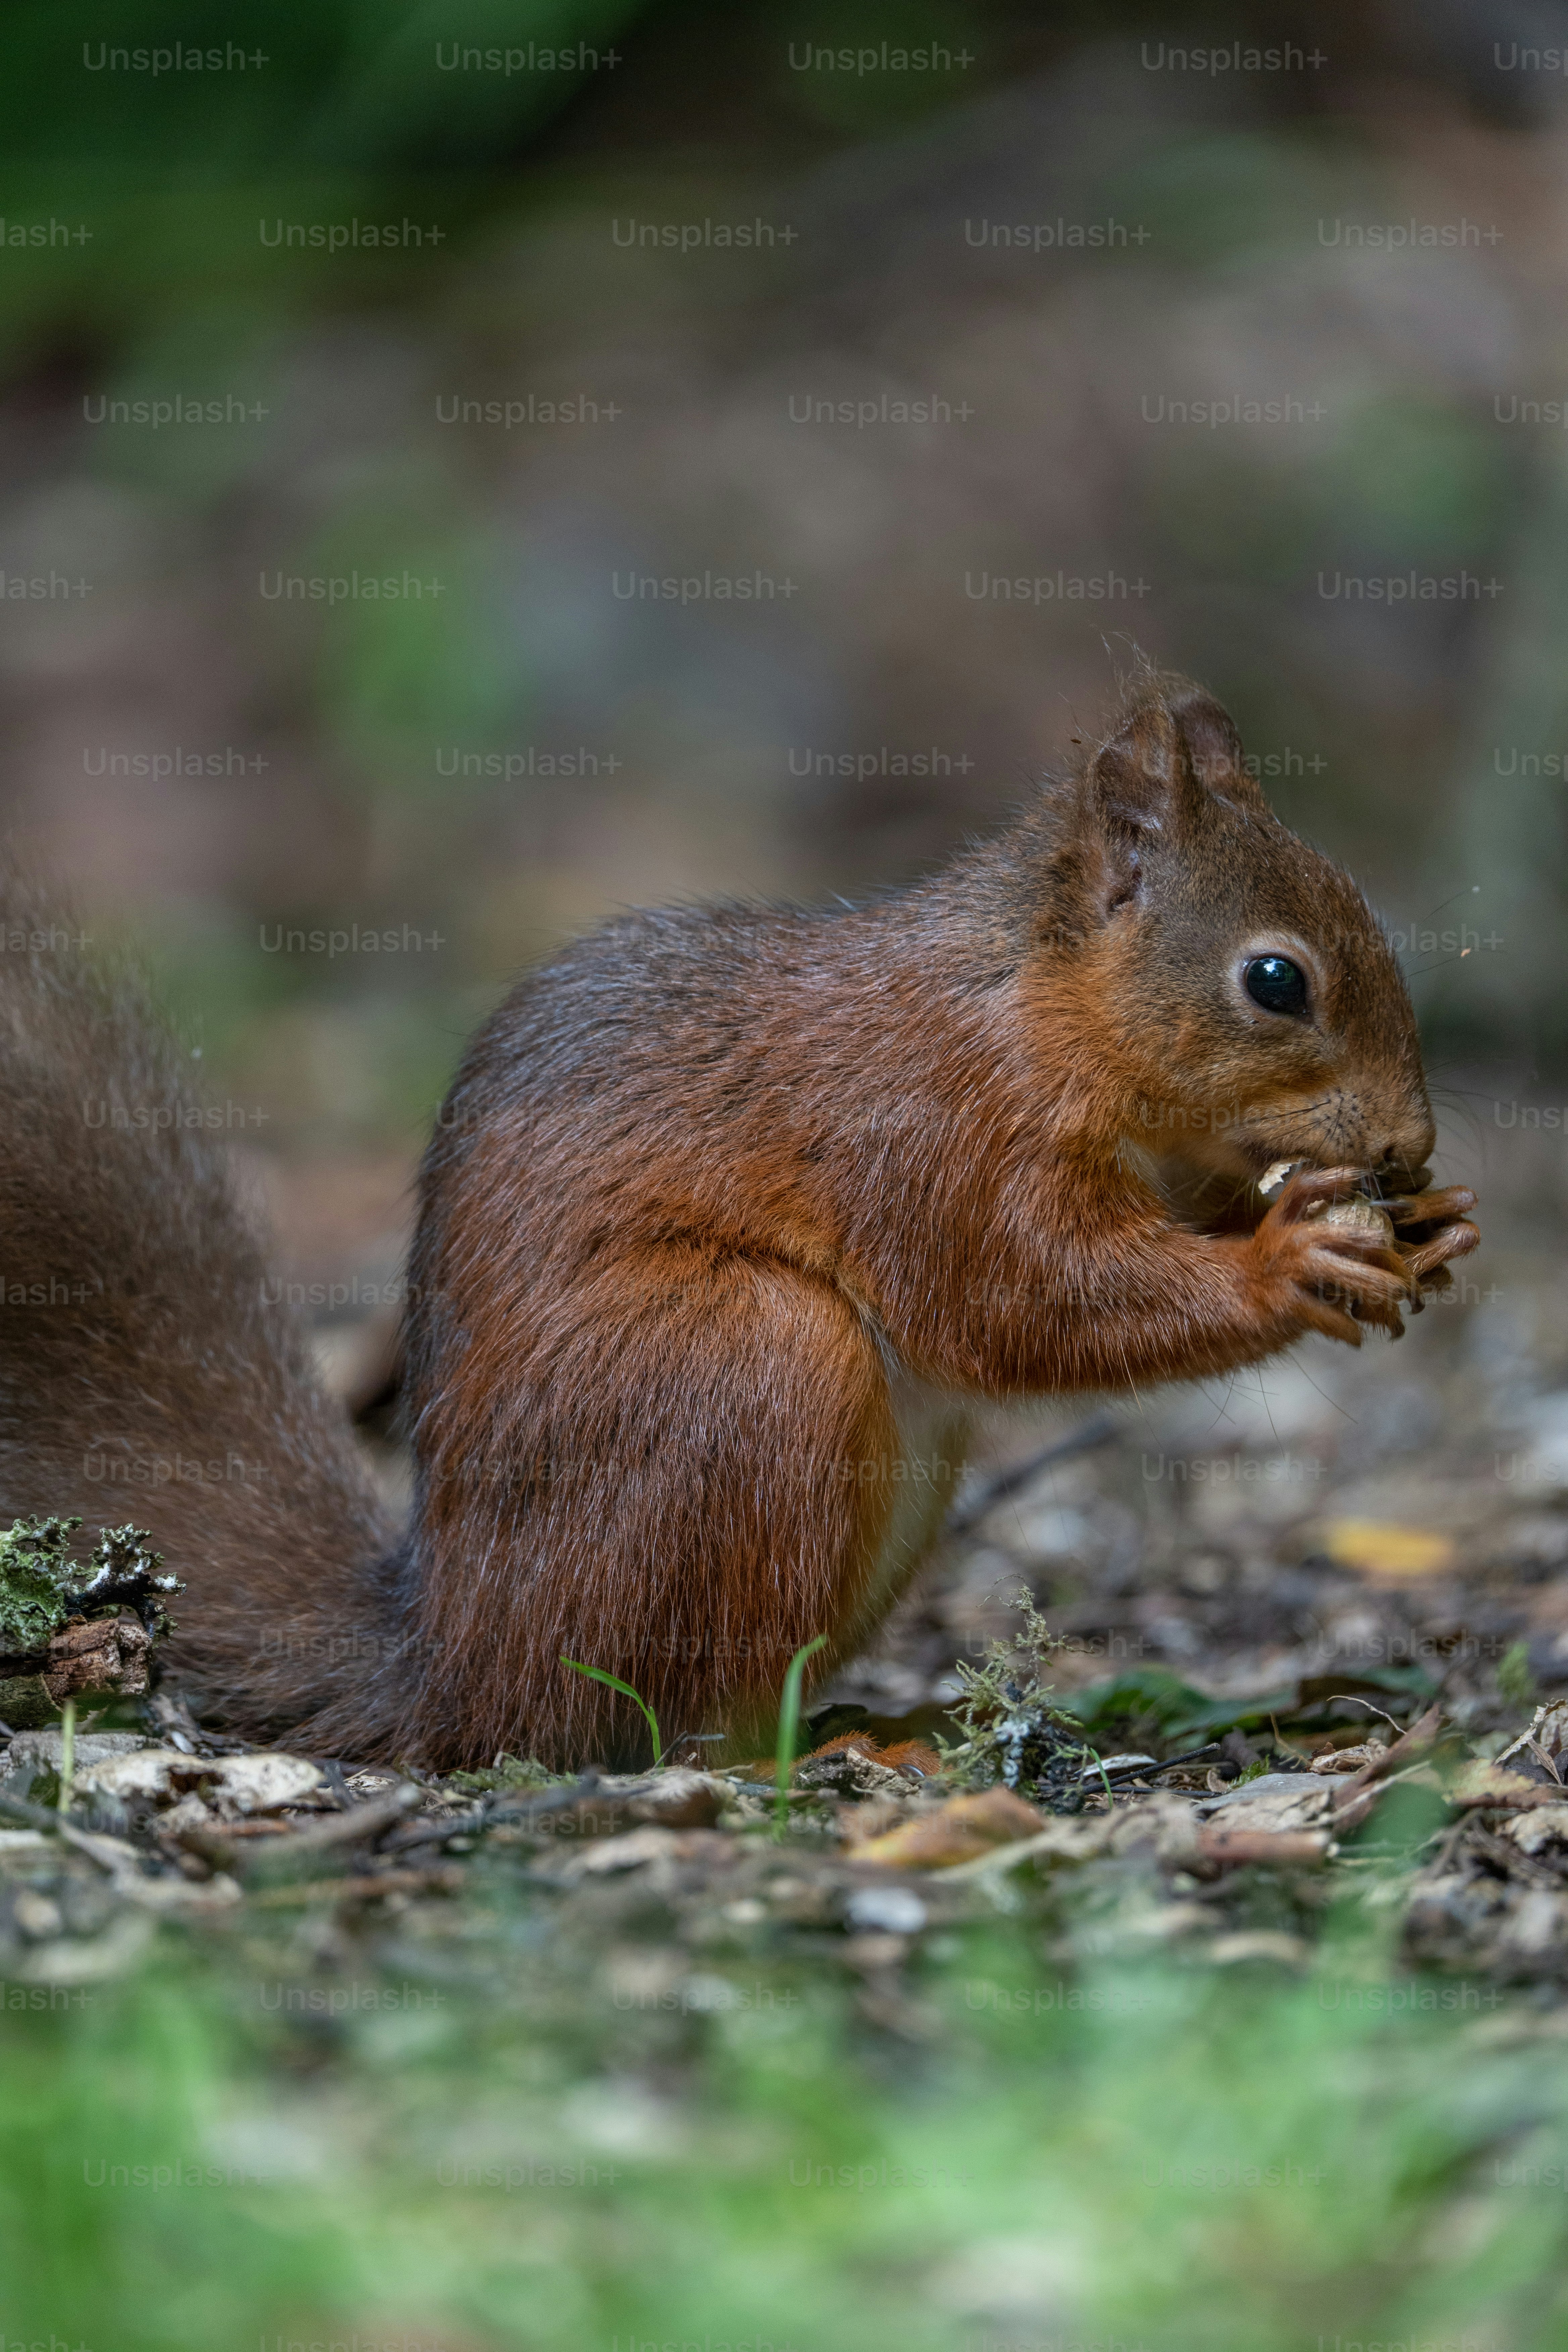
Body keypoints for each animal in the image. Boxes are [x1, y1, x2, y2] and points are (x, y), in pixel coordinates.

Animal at [0, 671, 1478, 1769]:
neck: (1030, 1005)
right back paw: (819, 1748)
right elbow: (1020, 1299)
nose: (1406, 1144)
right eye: (1275, 981)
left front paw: (1423, 1224)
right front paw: (1289, 1260)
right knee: (657, 1723)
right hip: (748, 1365)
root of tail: (453, 1664)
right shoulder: (933, 1133)